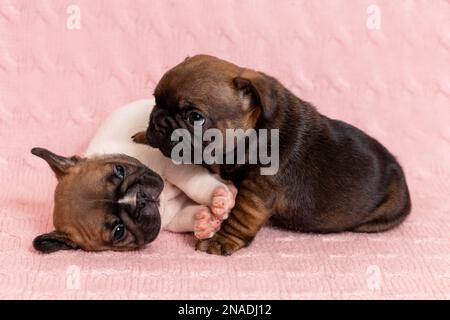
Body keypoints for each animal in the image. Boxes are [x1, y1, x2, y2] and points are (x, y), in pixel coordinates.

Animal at [31, 99, 236, 254]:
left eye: (119, 170)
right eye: (119, 231)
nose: (140, 198)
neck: (164, 199)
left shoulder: (170, 164)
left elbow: (191, 182)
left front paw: (219, 197)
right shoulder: (171, 218)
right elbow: (186, 217)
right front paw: (204, 221)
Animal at [147, 54, 412, 255]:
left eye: (195, 117)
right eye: (155, 100)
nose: (158, 122)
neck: (251, 134)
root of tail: (398, 168)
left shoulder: (256, 192)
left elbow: (240, 218)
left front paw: (221, 239)